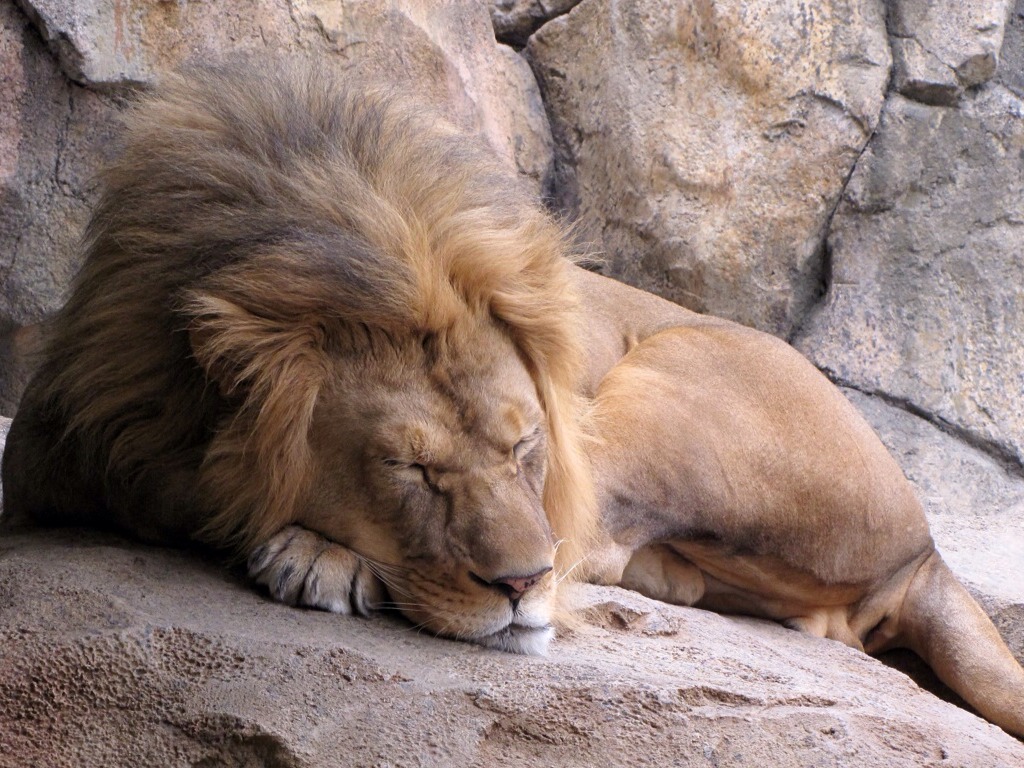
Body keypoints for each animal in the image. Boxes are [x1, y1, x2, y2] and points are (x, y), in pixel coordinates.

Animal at [2, 60, 1022, 738]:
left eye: (525, 449)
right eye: (409, 468)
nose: (521, 586)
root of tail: (926, 549)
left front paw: (316, 554)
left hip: (666, 385)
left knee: (596, 537)